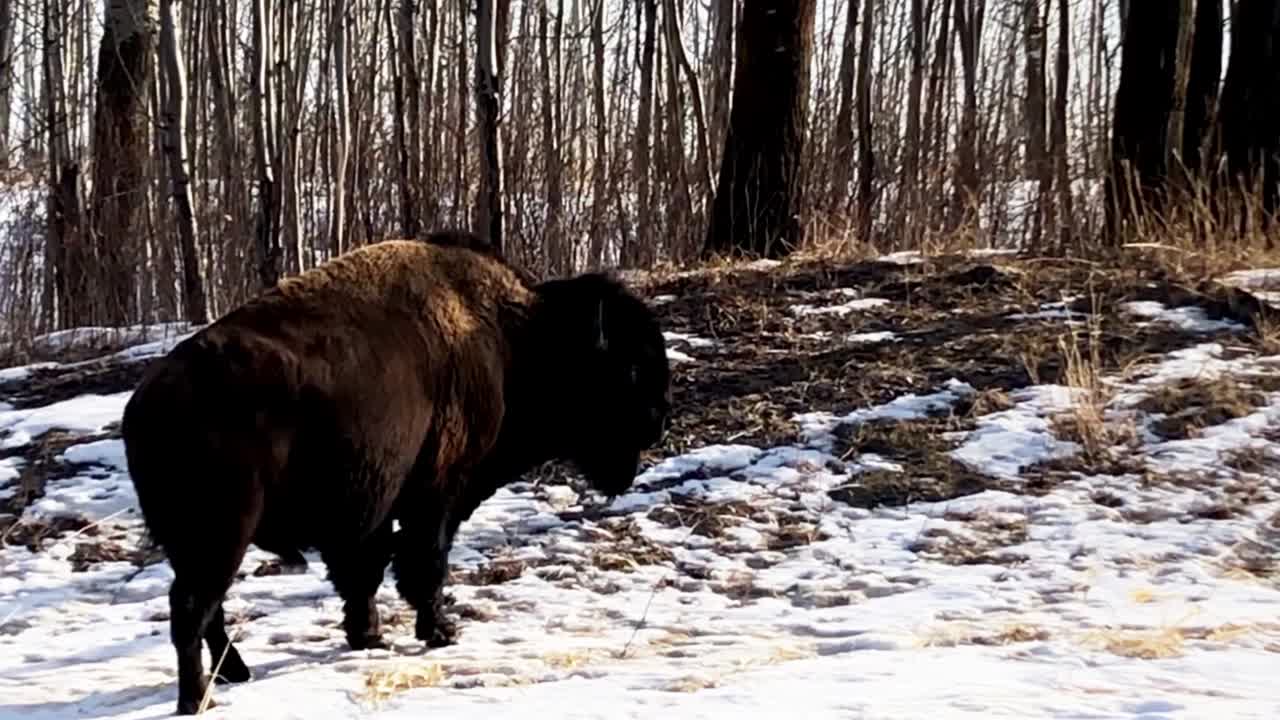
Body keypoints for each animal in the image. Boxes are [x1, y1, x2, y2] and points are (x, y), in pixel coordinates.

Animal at [121, 238, 671, 714]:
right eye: (629, 369)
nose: (659, 419)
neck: (516, 335)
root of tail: (148, 402)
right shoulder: (439, 491)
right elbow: (424, 562)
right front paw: (440, 630)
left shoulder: (371, 511)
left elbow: (364, 574)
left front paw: (368, 634)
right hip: (220, 536)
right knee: (193, 609)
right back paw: (198, 698)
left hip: (197, 544)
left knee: (206, 610)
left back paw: (235, 672)